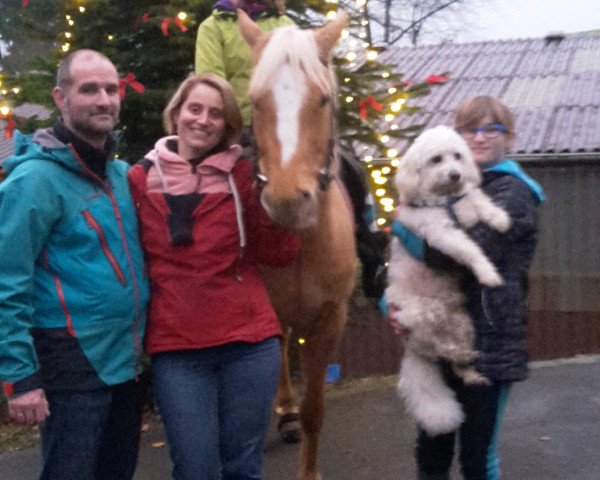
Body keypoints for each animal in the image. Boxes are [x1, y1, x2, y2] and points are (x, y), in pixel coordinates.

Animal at [384, 124, 510, 436]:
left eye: (457, 156)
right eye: (436, 159)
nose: (455, 175)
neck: (445, 200)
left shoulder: (465, 206)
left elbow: (480, 201)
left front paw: (500, 217)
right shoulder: (442, 235)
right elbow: (471, 249)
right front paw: (488, 273)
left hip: (463, 324)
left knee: (454, 363)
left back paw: (471, 370)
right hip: (424, 314)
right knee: (439, 348)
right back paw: (456, 353)